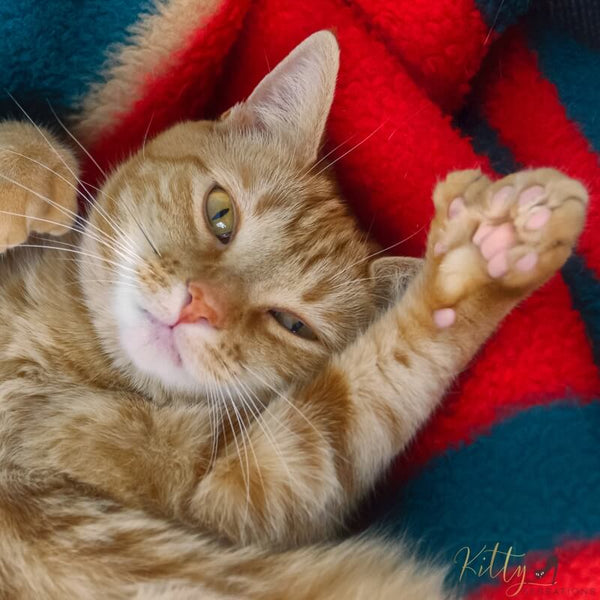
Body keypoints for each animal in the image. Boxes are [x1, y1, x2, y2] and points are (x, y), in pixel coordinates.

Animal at [0, 32, 584, 600]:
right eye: (220, 214)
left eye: (294, 325)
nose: (198, 305)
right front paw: (32, 168)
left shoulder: (250, 488)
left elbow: (363, 394)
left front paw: (484, 255)